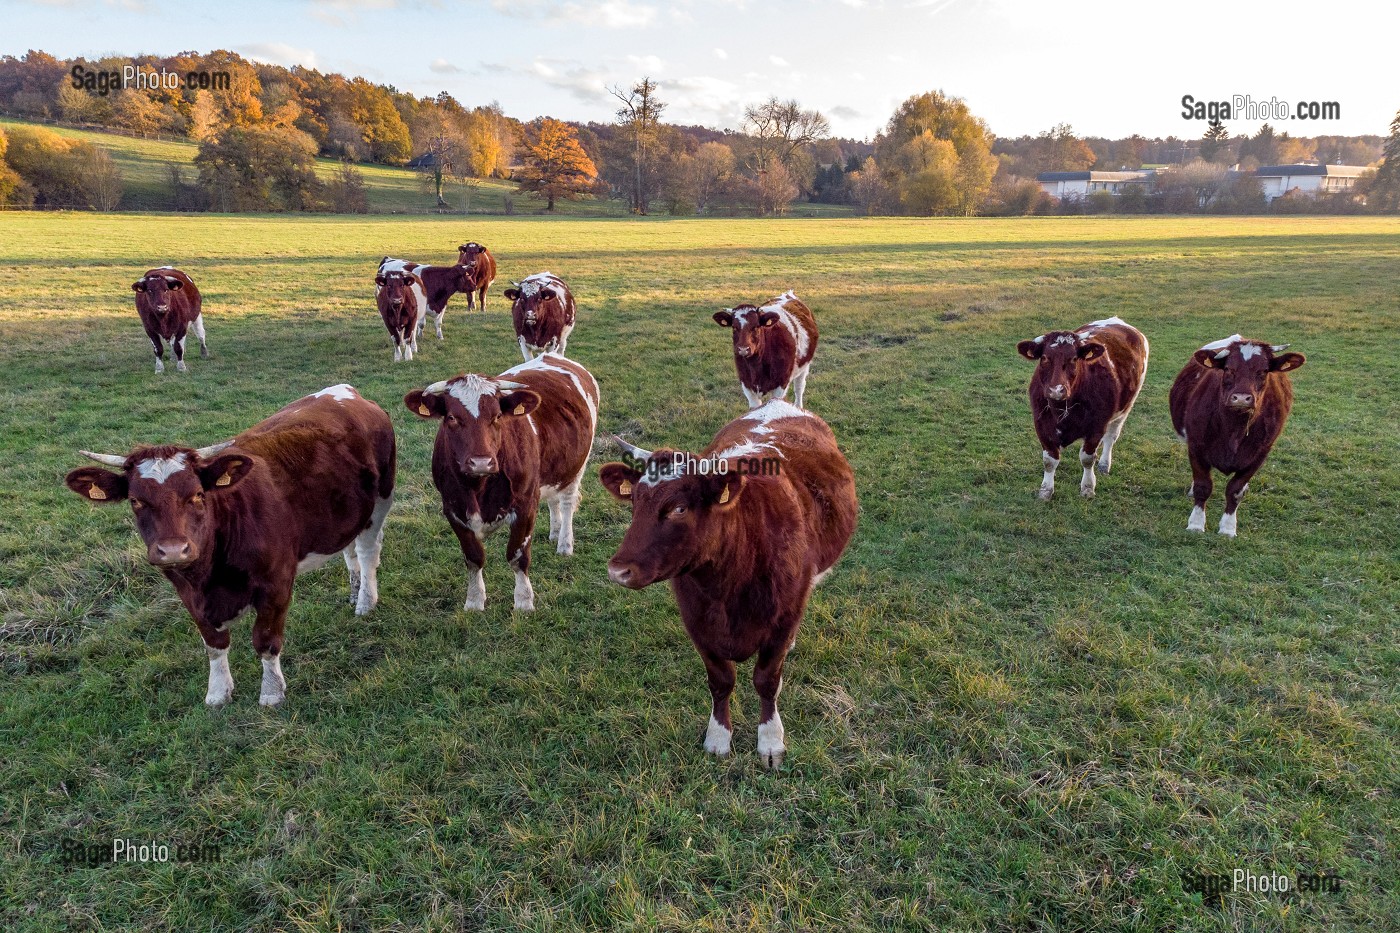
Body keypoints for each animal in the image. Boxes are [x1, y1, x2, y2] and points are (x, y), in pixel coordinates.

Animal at [64, 385, 396, 707]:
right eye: (135, 501)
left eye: (198, 494)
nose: (172, 550)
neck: (210, 577)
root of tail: (347, 392)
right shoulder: (188, 595)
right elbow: (214, 645)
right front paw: (218, 691)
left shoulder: (276, 583)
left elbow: (265, 640)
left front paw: (271, 692)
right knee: (350, 550)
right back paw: (354, 591)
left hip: (380, 500)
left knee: (367, 552)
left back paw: (366, 601)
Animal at [404, 354, 599, 612]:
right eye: (452, 418)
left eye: (497, 416)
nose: (481, 462)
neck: (478, 489)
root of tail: (552, 355)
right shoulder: (452, 508)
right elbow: (473, 557)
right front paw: (474, 600)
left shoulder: (526, 505)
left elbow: (517, 556)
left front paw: (524, 602)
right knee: (553, 501)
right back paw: (555, 532)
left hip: (577, 465)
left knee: (567, 502)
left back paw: (565, 543)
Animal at [598, 399, 858, 768]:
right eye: (634, 502)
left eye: (679, 508)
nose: (618, 570)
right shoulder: (697, 622)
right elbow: (721, 681)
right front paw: (718, 737)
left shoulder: (783, 617)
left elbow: (767, 681)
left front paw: (770, 741)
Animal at [1016, 316, 1149, 500]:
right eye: (1044, 358)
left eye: (1074, 358)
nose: (1056, 390)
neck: (1061, 409)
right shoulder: (1041, 424)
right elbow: (1049, 461)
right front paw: (1045, 490)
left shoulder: (1096, 427)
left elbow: (1087, 459)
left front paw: (1087, 487)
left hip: (1126, 407)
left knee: (1111, 437)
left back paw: (1104, 464)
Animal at [1169, 335, 1305, 537]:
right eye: (1228, 369)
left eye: (1263, 371)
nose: (1241, 398)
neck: (1233, 430)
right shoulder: (1196, 446)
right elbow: (1203, 486)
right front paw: (1196, 524)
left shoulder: (1259, 455)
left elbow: (1235, 490)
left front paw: (1228, 527)